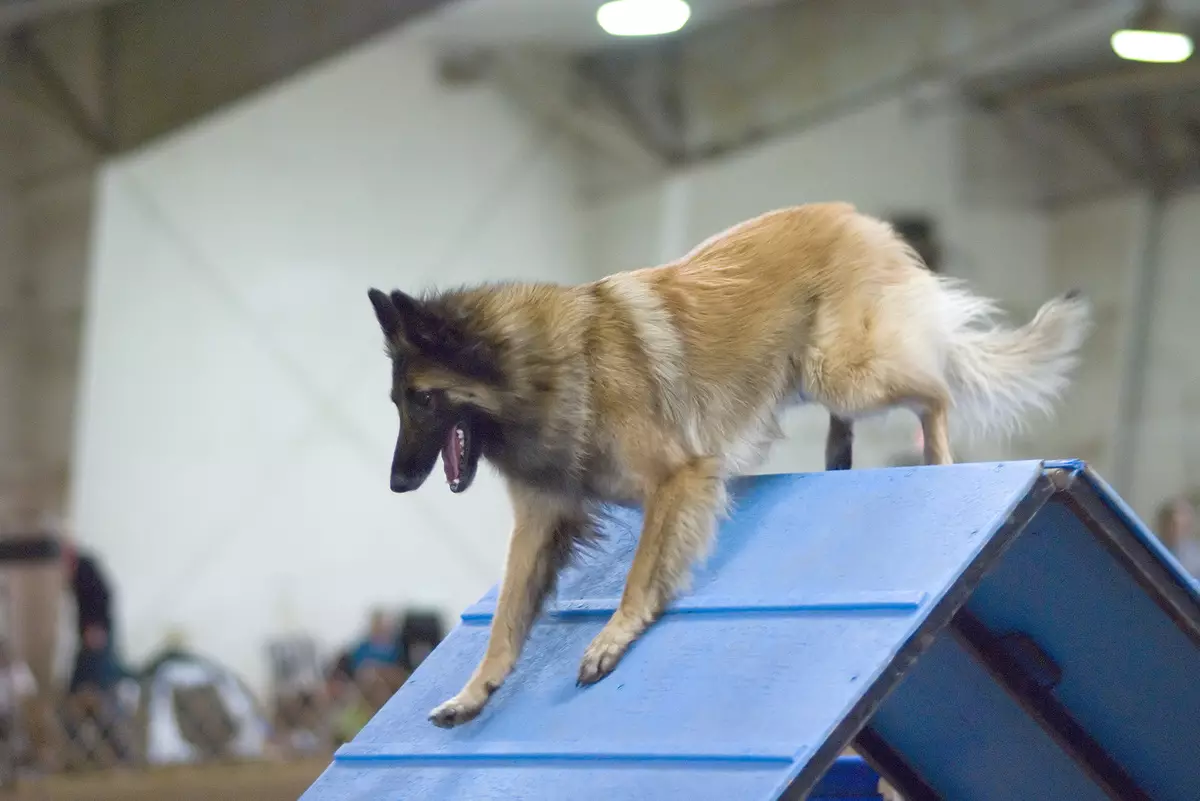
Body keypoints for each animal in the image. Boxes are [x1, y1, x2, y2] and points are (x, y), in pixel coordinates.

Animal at [369, 200, 1094, 724]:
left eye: (423, 399)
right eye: (397, 402)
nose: (397, 483)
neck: (539, 366)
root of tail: (859, 216)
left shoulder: (676, 476)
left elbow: (640, 572)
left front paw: (614, 635)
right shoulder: (542, 522)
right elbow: (504, 621)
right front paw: (474, 691)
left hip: (843, 370)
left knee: (936, 386)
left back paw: (938, 458)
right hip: (815, 374)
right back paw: (839, 459)